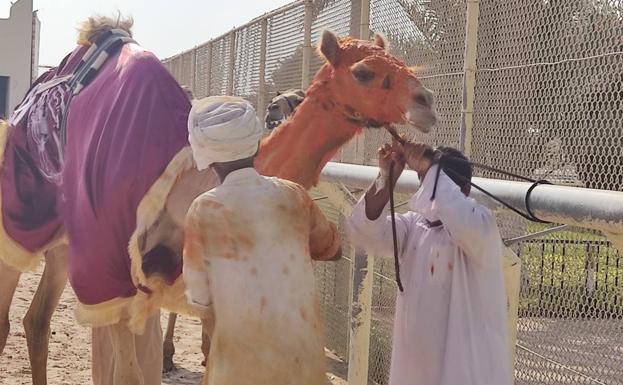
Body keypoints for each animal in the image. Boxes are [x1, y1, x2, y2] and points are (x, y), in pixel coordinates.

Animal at [0, 14, 436, 380]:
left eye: (401, 63)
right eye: (363, 72)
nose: (426, 103)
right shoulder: (113, 272)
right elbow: (127, 372)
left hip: (61, 249)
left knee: (35, 321)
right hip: (20, 224)